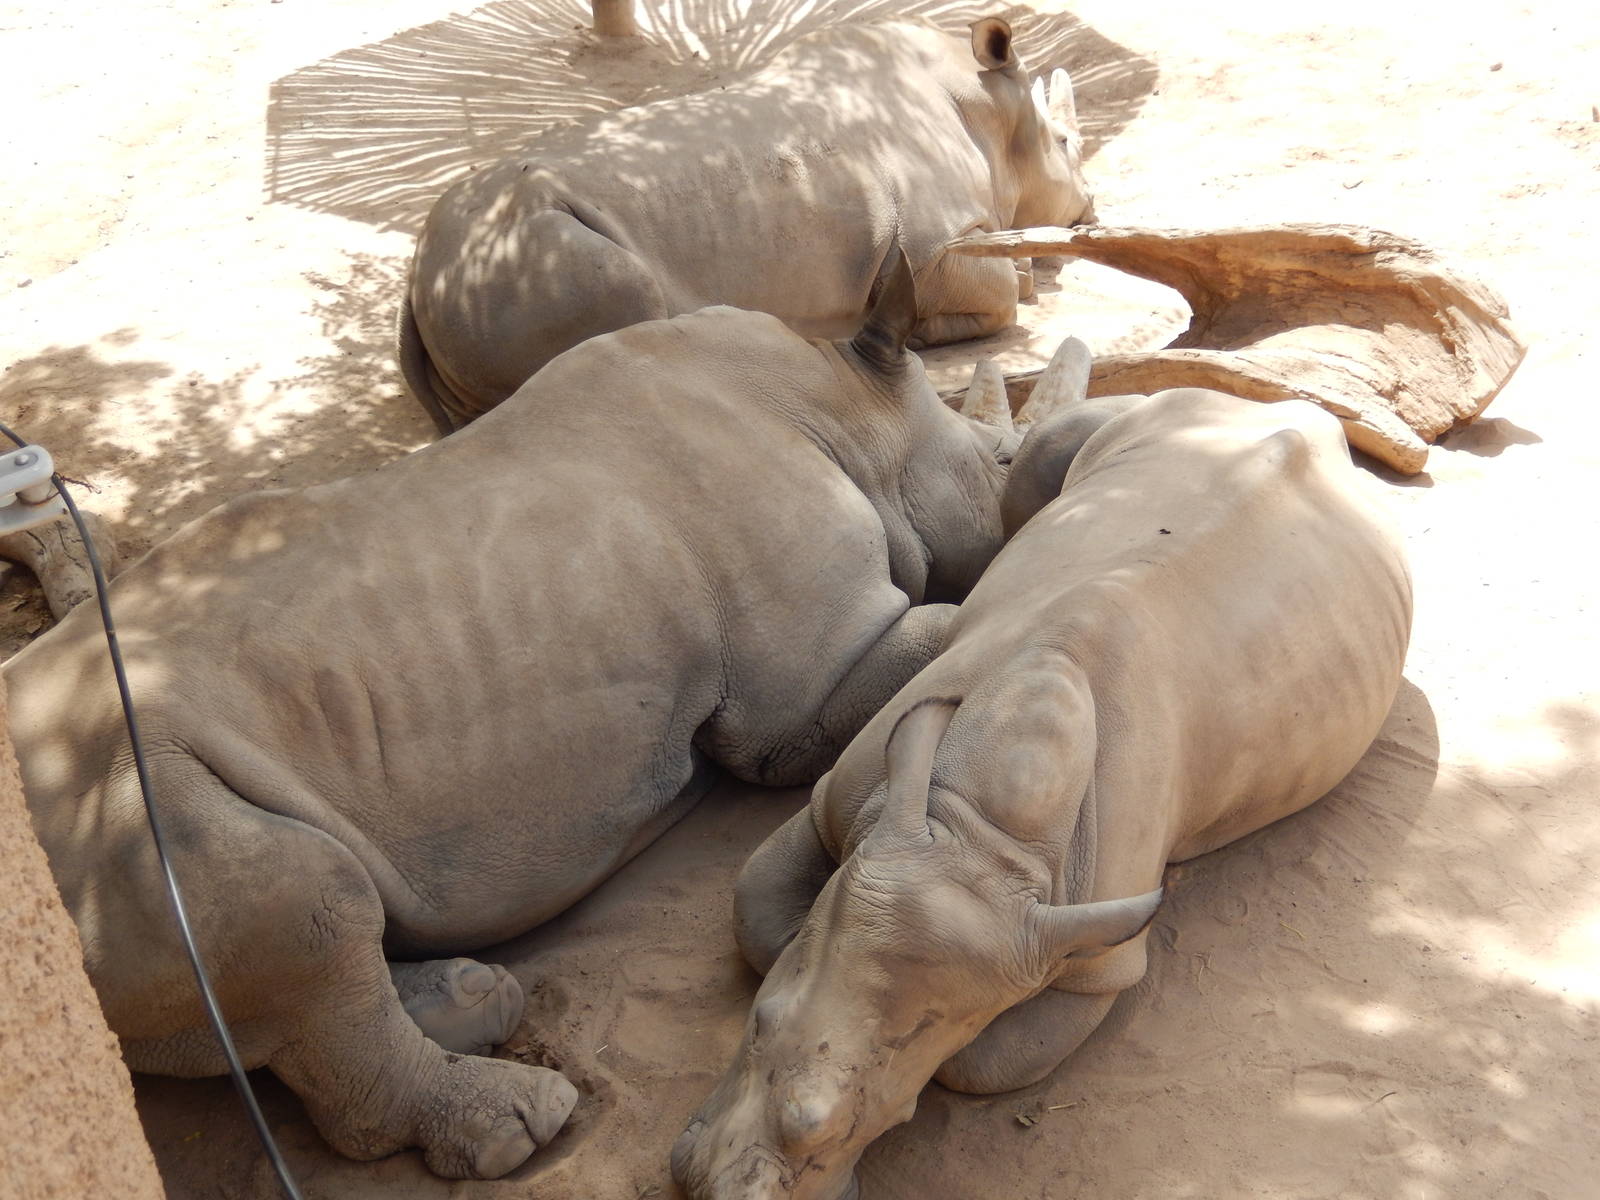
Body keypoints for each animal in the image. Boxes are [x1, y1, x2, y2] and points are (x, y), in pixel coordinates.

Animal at [2, 254, 1091, 1180]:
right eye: (1000, 461)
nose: (1017, 473)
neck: (841, 408)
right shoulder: (802, 691)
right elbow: (939, 627)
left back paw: (475, 1001)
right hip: (128, 797)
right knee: (301, 900)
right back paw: (520, 1120)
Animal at [400, 15, 1093, 434]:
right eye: (1066, 143)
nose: (1090, 208)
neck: (992, 112)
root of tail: (419, 273)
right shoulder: (934, 249)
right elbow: (1001, 296)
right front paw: (1001, 291)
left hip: (486, 276)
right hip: (530, 262)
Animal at [672, 374, 1414, 1200]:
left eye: (897, 1118)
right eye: (756, 1026)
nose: (711, 1190)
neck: (978, 831)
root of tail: (1295, 412)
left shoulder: (1094, 957)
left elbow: (981, 1062)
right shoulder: (845, 801)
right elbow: (761, 914)